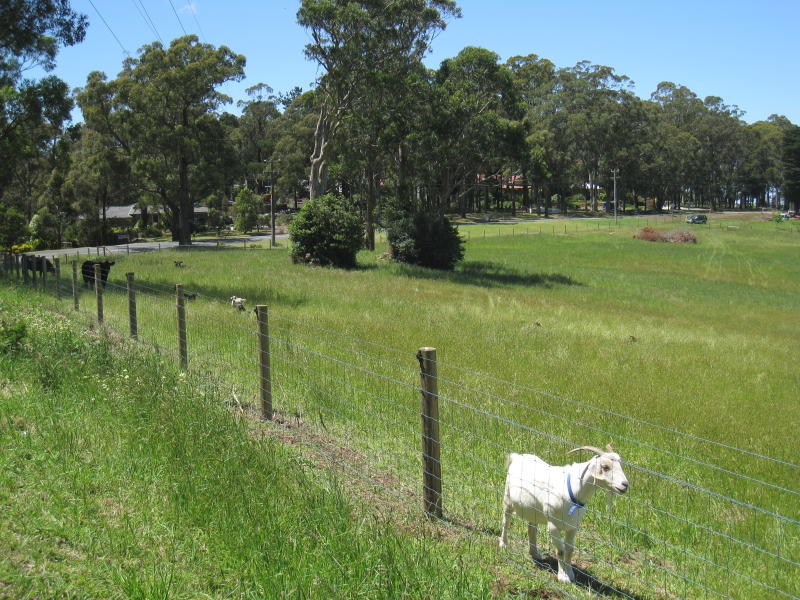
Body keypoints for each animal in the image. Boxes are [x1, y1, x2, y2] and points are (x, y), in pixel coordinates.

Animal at [499, 444, 628, 584]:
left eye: (620, 464)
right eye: (605, 467)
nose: (625, 485)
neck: (574, 490)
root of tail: (516, 456)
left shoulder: (573, 526)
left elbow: (570, 550)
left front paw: (571, 574)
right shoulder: (553, 525)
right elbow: (560, 551)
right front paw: (563, 577)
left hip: (534, 510)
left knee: (531, 529)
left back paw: (535, 554)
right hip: (507, 498)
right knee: (506, 522)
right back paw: (503, 544)